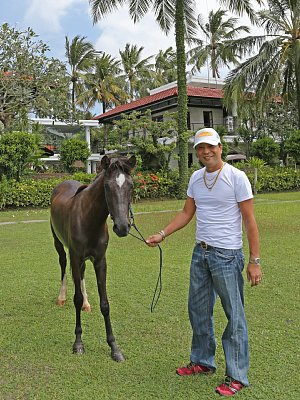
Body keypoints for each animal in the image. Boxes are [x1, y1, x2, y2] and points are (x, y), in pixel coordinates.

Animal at [50, 155, 136, 360]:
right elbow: (76, 298)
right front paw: (78, 343)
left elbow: (105, 304)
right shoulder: (75, 257)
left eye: (131, 186)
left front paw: (114, 347)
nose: (122, 227)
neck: (89, 218)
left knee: (81, 275)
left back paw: (87, 304)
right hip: (59, 245)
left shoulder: (100, 262)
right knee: (63, 266)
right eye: (107, 187)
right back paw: (61, 297)